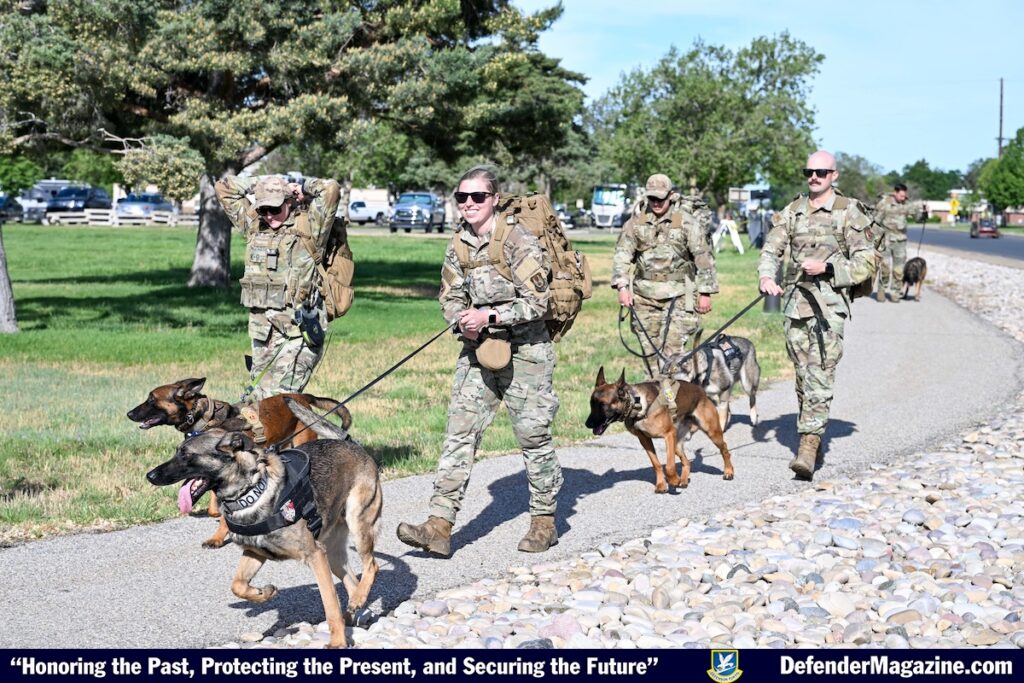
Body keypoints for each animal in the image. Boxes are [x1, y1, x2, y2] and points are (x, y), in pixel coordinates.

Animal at [128, 377, 352, 548]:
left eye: (151, 398)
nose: (129, 413)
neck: (205, 419)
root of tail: (301, 397)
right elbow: (214, 506)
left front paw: (219, 537)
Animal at [145, 402, 380, 650]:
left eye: (186, 454)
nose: (149, 475)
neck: (251, 492)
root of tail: (350, 443)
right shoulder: (255, 552)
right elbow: (237, 585)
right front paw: (263, 593)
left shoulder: (315, 555)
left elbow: (330, 603)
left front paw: (336, 642)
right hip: (333, 554)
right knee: (352, 581)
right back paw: (354, 607)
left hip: (357, 523)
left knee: (372, 565)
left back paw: (355, 605)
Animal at [585, 367, 734, 493]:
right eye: (591, 404)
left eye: (603, 405)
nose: (587, 424)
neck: (637, 403)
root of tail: (700, 390)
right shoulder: (645, 440)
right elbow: (656, 464)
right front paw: (662, 484)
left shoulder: (668, 435)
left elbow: (669, 466)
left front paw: (673, 480)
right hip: (677, 443)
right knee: (686, 462)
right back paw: (683, 480)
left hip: (711, 432)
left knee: (725, 449)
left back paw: (728, 471)